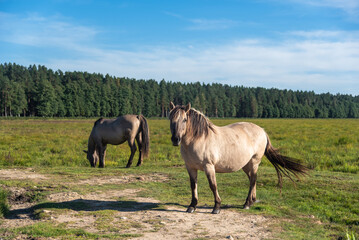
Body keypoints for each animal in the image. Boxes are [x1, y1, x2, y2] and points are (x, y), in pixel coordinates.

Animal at [169, 102, 310, 215]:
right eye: (170, 119)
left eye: (185, 119)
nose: (175, 139)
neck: (199, 139)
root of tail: (262, 131)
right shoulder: (190, 167)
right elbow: (193, 185)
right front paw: (192, 206)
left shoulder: (209, 166)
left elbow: (213, 185)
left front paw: (216, 207)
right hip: (246, 165)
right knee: (252, 179)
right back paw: (252, 201)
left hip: (254, 162)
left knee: (253, 180)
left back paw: (247, 203)